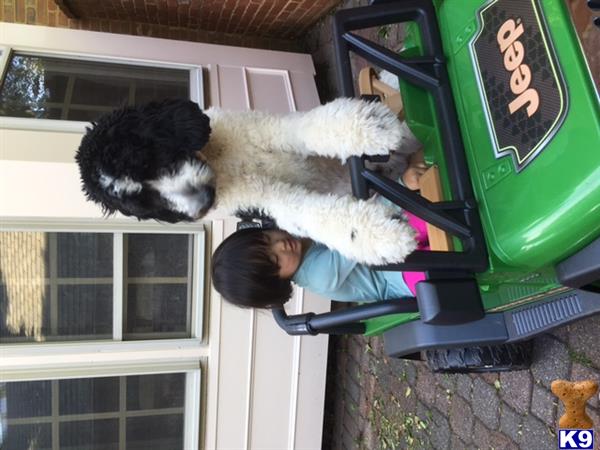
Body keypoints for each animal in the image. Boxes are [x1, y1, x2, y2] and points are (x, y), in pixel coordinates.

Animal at [76, 98, 418, 266]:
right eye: (145, 205)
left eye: (149, 160)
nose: (204, 202)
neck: (220, 162)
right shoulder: (264, 201)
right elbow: (307, 214)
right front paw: (379, 235)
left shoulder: (263, 128)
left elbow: (303, 128)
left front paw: (367, 127)